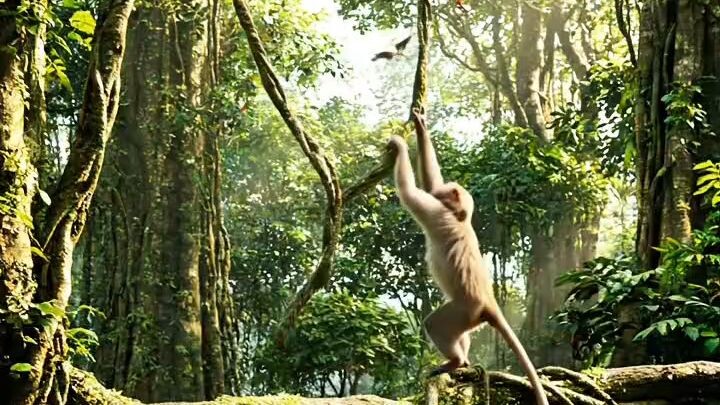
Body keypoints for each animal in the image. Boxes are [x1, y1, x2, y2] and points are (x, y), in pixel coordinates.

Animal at [386, 111, 549, 405]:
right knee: (459, 334)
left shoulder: (436, 212)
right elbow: (430, 181)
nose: (445, 192)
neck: (460, 217)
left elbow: (409, 192)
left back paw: (455, 361)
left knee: (435, 323)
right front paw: (420, 126)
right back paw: (462, 362)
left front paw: (399, 146)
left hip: (464, 310)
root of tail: (489, 303)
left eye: (450, 192)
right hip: (470, 319)